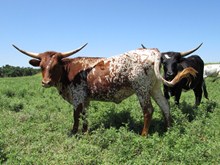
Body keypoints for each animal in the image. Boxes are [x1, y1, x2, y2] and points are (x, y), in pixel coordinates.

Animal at [12, 43, 197, 135]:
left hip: (141, 88)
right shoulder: (85, 99)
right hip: (154, 87)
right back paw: (169, 130)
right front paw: (85, 132)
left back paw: (143, 135)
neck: (68, 72)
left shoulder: (77, 97)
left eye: (56, 65)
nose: (46, 82)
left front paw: (74, 133)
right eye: (42, 66)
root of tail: (153, 51)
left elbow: (76, 116)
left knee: (148, 110)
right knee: (165, 106)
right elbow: (85, 116)